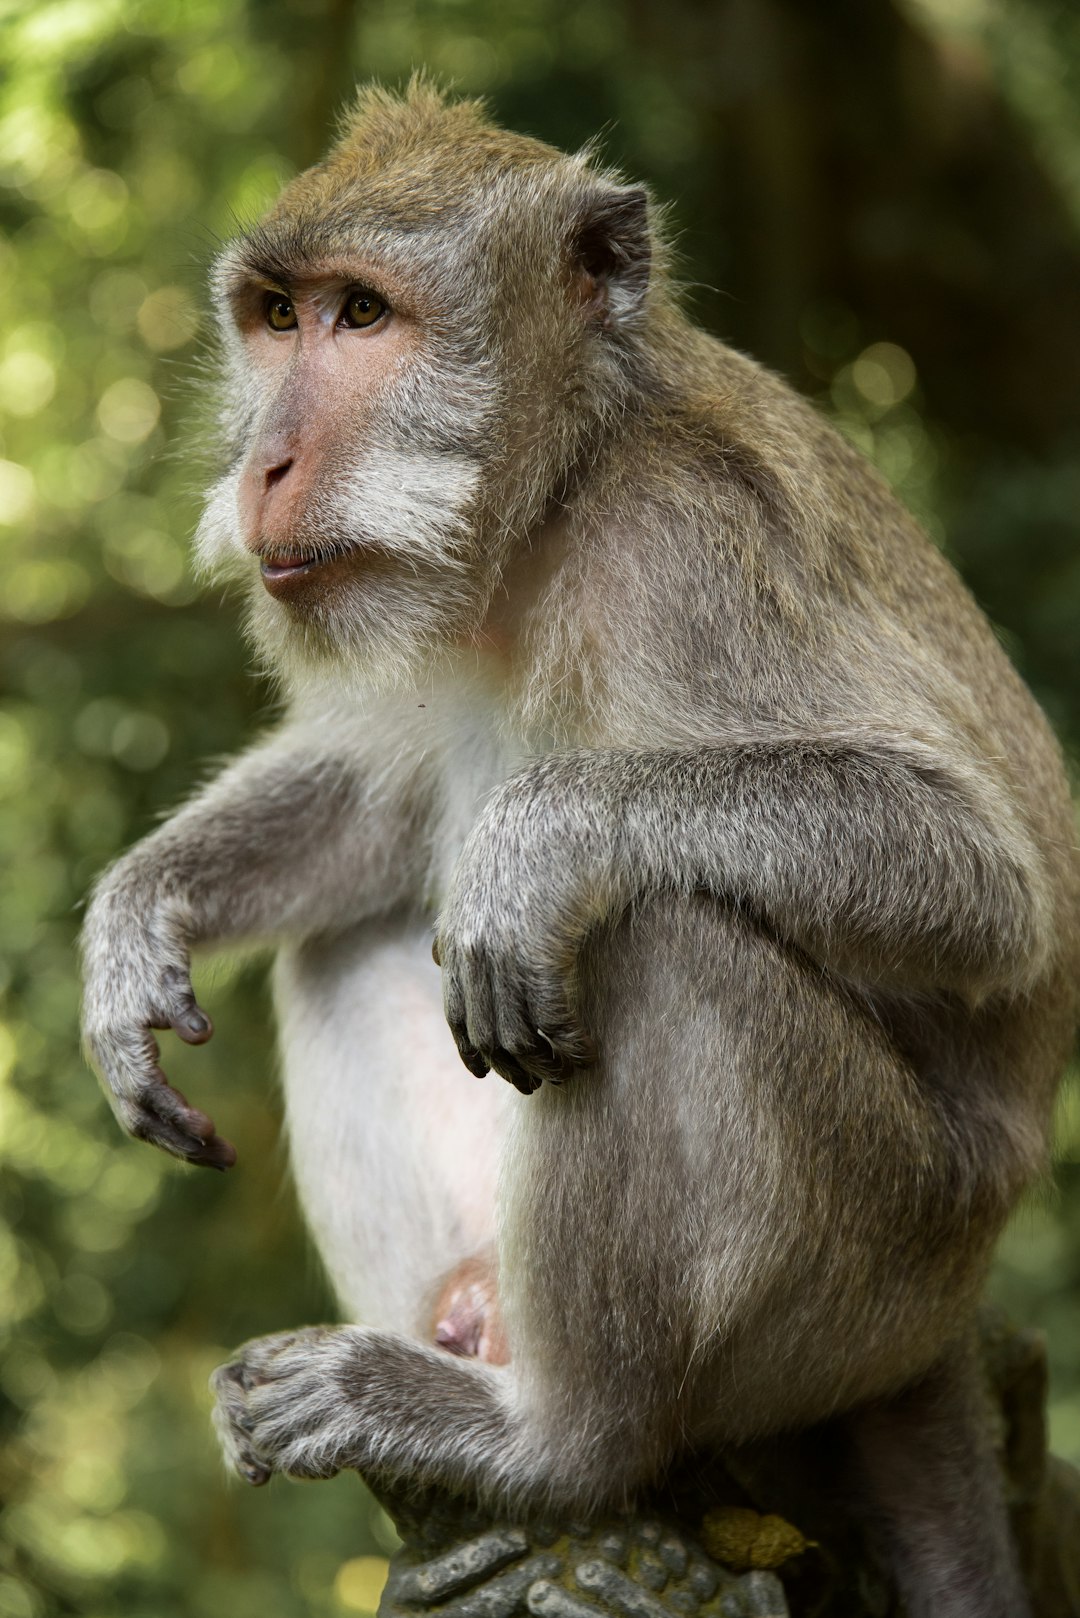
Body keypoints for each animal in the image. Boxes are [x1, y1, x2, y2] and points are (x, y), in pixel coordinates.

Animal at [82, 78, 1080, 1618]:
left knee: (662, 940)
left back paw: (552, 1439)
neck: (560, 494)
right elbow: (382, 799)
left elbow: (983, 880)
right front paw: (139, 919)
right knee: (346, 942)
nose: (265, 465)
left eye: (363, 316)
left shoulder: (698, 552)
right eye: (277, 315)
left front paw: (537, 845)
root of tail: (948, 1323)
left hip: (872, 1268)